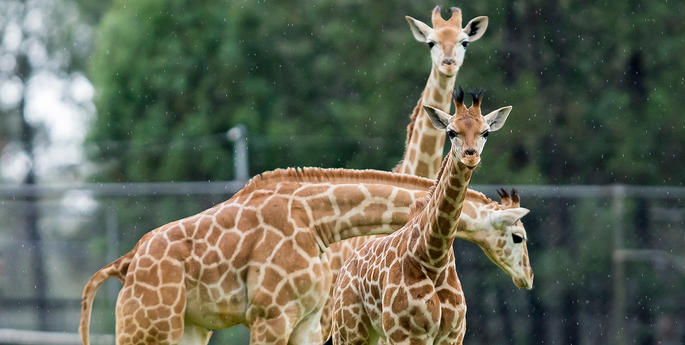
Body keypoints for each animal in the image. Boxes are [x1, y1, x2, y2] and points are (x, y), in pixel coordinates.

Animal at [80, 167, 440, 344]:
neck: (318, 219)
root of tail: (126, 263)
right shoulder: (271, 315)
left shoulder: (308, 321)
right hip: (149, 326)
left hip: (189, 328)